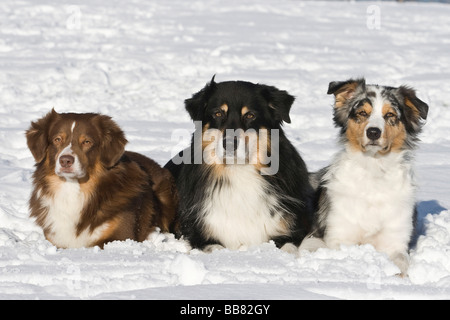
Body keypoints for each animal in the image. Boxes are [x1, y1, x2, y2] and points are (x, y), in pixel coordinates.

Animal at [165, 77, 312, 252]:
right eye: (218, 113)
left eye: (250, 115)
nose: (229, 144)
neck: (238, 169)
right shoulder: (201, 234)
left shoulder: (289, 230)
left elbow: (289, 248)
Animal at [306, 78, 428, 276]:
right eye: (362, 113)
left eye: (390, 114)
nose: (373, 132)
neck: (374, 170)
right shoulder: (339, 236)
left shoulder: (394, 240)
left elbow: (401, 262)